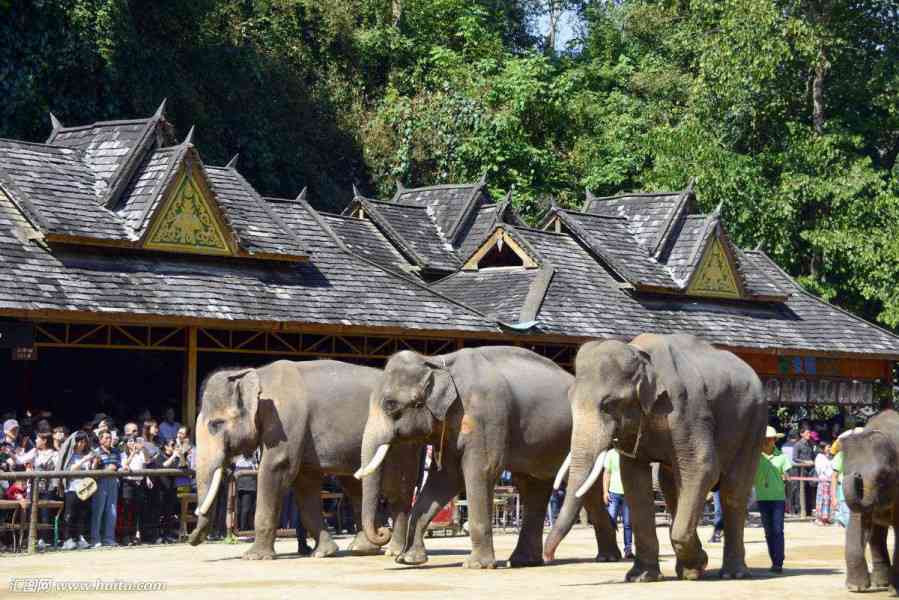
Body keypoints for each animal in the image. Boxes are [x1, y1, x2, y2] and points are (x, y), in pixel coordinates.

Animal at [188, 358, 420, 560]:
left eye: (215, 424)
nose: (191, 538)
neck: (257, 375)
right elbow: (305, 484)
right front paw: (323, 552)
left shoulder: (285, 422)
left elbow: (276, 468)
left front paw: (253, 557)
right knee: (355, 486)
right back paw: (362, 548)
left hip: (403, 441)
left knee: (397, 490)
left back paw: (393, 550)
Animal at [352, 344, 620, 568]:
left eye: (390, 405)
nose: (382, 532)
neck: (437, 362)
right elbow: (445, 480)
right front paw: (409, 560)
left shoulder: (486, 416)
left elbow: (480, 471)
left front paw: (476, 565)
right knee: (534, 487)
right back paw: (525, 561)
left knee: (582, 490)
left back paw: (606, 558)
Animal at [544, 332, 768, 580]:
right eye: (570, 399)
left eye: (608, 405)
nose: (548, 557)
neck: (641, 355)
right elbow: (633, 478)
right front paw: (640, 577)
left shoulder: (686, 408)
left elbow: (702, 467)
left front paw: (699, 564)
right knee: (671, 484)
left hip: (754, 422)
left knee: (733, 489)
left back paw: (732, 574)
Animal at [840, 410, 896, 592]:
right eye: (844, 471)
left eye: (883, 475)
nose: (857, 476)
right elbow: (858, 523)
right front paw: (855, 588)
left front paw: (895, 591)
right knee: (877, 535)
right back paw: (882, 583)